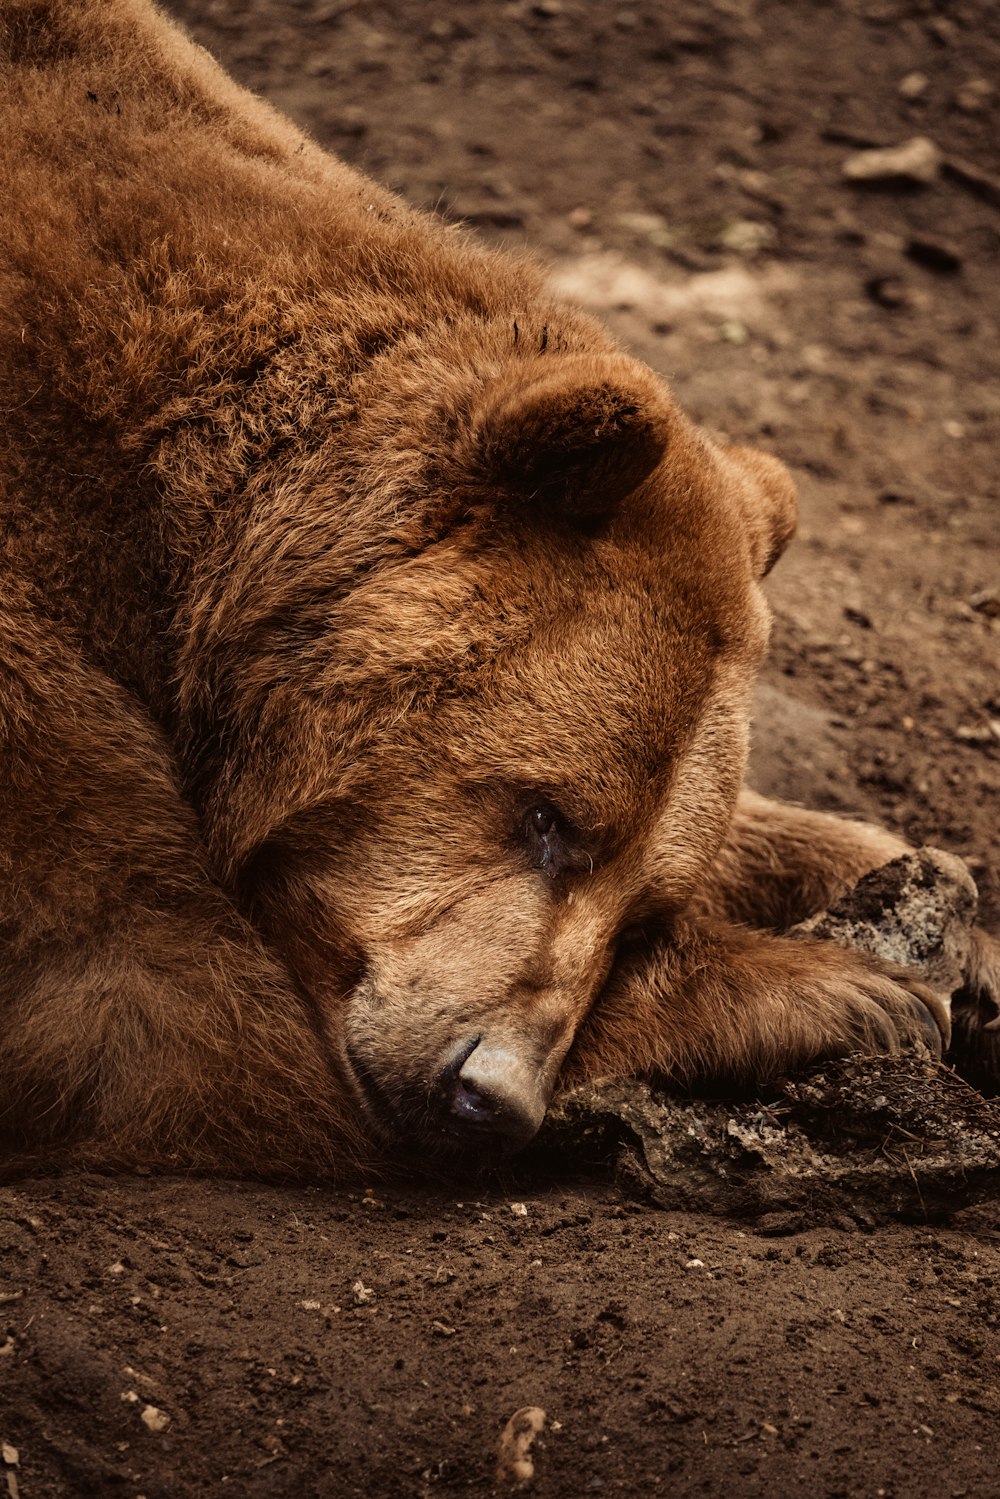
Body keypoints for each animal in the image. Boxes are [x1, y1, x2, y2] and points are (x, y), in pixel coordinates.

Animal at [0, 0, 995, 1175]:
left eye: (645, 906)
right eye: (546, 813)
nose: (491, 1089)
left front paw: (945, 913)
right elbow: (140, 981)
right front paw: (850, 992)